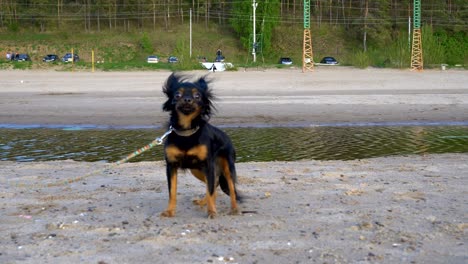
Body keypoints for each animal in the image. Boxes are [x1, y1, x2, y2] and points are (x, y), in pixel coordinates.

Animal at [161, 72, 241, 219]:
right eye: (177, 95)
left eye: (197, 96)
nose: (187, 100)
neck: (187, 131)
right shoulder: (171, 166)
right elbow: (172, 192)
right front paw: (169, 211)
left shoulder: (208, 165)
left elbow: (211, 189)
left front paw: (212, 211)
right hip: (196, 169)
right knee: (214, 183)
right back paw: (204, 202)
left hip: (226, 167)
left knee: (229, 187)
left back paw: (234, 208)